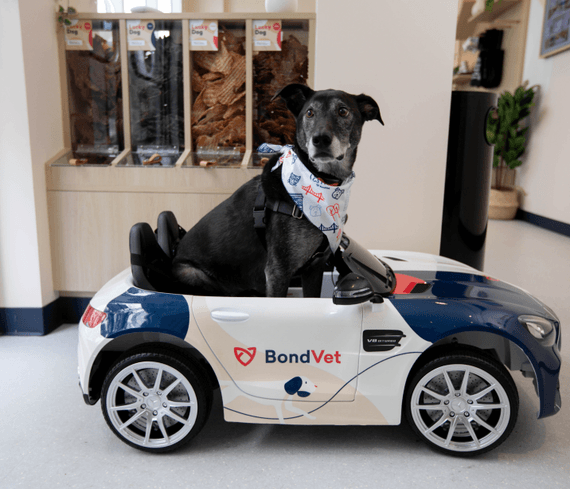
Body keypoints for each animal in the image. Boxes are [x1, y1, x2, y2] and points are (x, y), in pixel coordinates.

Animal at [171, 83, 380, 296]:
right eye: (310, 113)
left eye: (343, 111)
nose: (320, 139)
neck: (322, 179)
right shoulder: (278, 271)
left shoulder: (315, 269)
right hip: (191, 273)